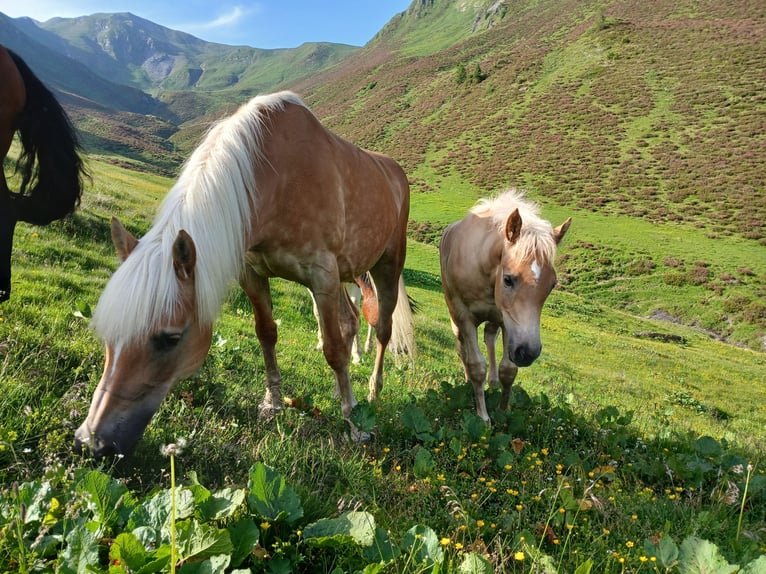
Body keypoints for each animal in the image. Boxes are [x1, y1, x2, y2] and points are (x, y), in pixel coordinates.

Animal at [74, 91, 415, 457]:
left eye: (170, 338)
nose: (91, 441)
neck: (279, 179)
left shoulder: (321, 276)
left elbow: (334, 350)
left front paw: (354, 424)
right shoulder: (253, 274)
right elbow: (267, 333)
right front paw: (273, 403)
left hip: (385, 268)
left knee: (382, 330)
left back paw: (372, 393)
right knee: (349, 319)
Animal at [439, 189, 571, 423]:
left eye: (552, 285)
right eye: (508, 279)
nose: (528, 352)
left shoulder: (508, 321)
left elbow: (508, 370)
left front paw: (503, 411)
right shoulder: (464, 316)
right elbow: (476, 366)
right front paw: (483, 417)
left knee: (490, 338)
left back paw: (492, 383)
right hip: (456, 317)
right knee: (462, 347)